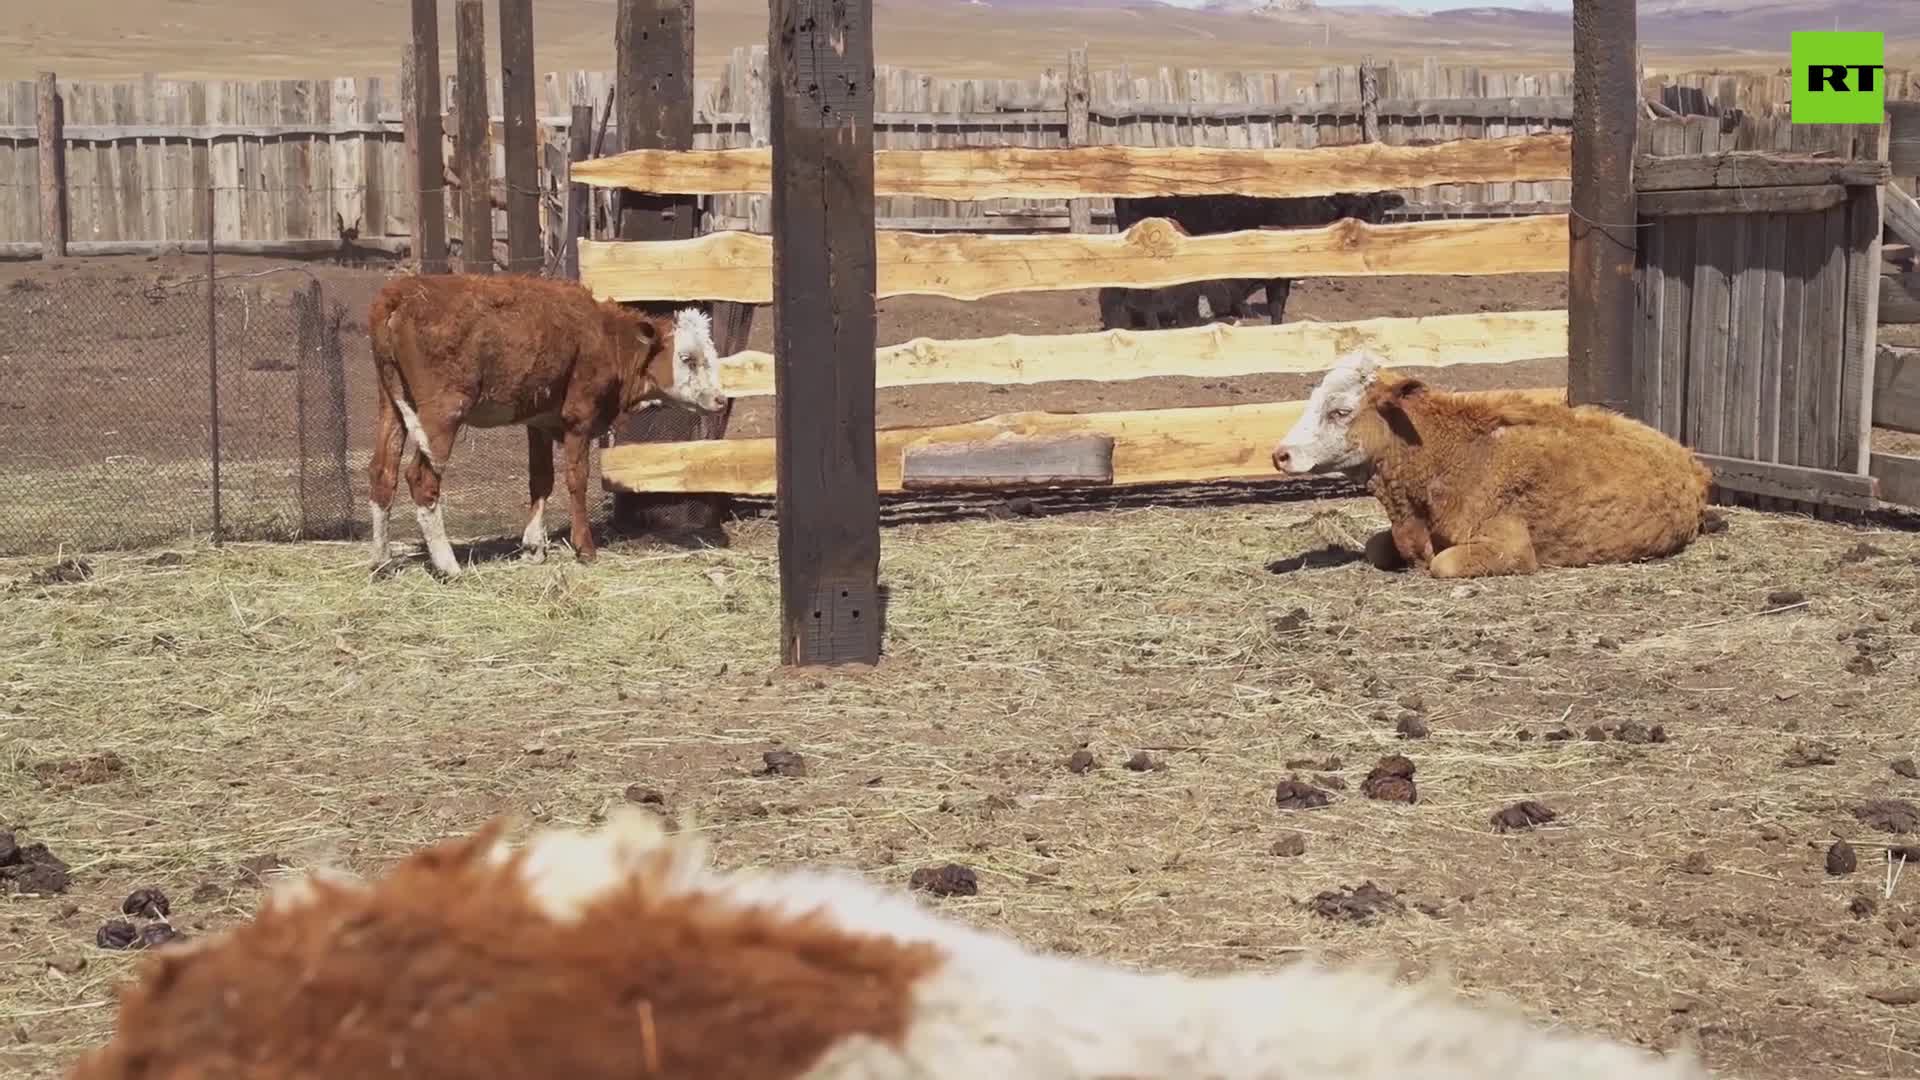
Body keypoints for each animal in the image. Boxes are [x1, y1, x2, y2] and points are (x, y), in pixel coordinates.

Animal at [362, 272, 721, 576]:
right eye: (687, 358)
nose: (719, 398)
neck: (607, 338)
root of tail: (400, 292)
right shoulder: (579, 415)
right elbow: (577, 479)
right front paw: (584, 548)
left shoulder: (538, 420)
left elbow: (541, 479)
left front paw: (534, 547)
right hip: (443, 411)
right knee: (421, 479)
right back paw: (448, 566)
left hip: (390, 405)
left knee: (383, 472)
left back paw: (382, 562)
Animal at [1274, 353, 1712, 576]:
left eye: (1340, 411)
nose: (1280, 454)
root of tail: (1690, 460)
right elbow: (1375, 546)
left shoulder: (1512, 548)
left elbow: (1442, 564)